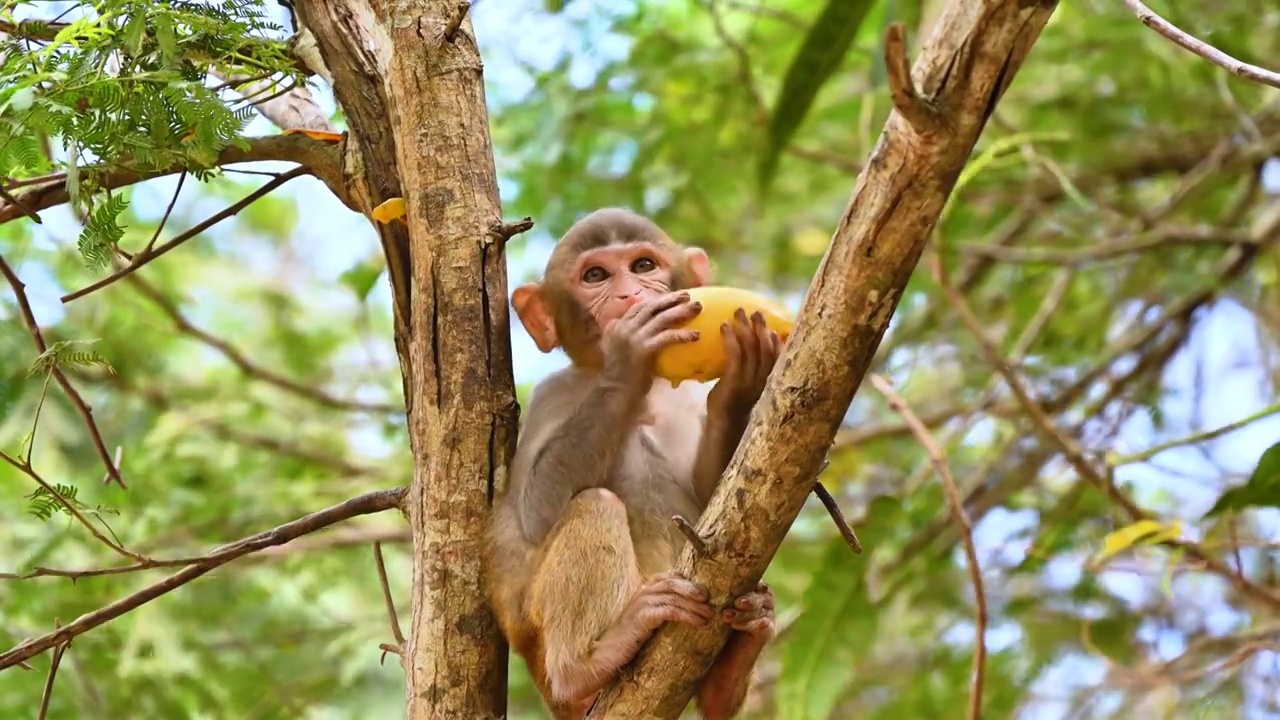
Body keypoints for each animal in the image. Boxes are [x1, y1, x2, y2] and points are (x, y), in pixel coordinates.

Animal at [483, 204, 778, 712]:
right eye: (596, 275)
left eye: (643, 266)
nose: (629, 293)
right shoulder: (552, 395)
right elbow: (535, 511)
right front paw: (628, 356)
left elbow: (723, 502)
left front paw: (740, 387)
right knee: (594, 504)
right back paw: (584, 670)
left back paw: (732, 667)